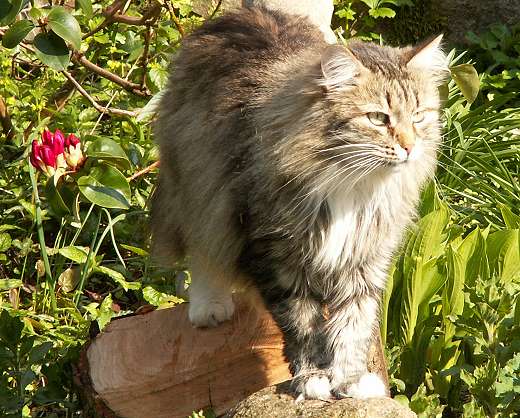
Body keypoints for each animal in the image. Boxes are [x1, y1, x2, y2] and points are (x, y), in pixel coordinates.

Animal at [151, 5, 446, 398]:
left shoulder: (363, 259)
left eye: (419, 116)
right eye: (378, 118)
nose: (410, 147)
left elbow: (352, 325)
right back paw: (209, 305)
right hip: (197, 187)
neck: (352, 184)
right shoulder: (280, 258)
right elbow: (303, 327)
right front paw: (312, 379)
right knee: (202, 250)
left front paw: (350, 380)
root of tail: (243, 12)